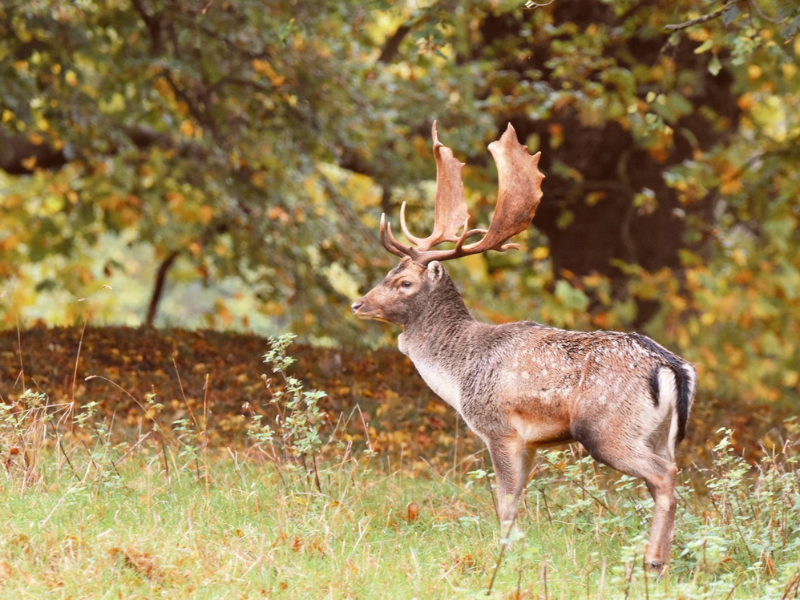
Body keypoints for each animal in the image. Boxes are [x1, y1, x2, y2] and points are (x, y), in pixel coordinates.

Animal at [351, 122, 696, 571]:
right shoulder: (530, 441)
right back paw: (664, 562)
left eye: (405, 282)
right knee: (668, 474)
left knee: (663, 477)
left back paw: (652, 562)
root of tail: (671, 366)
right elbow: (518, 500)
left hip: (606, 428)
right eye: (388, 273)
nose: (358, 304)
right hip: (662, 434)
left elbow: (505, 502)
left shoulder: (498, 427)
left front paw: (503, 556)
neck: (458, 371)